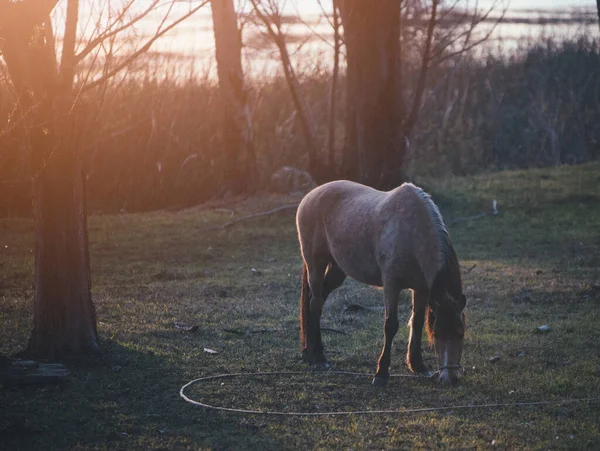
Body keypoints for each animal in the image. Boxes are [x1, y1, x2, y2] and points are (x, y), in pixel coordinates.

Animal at [298, 180, 466, 384]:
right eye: (437, 333)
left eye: (461, 333)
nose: (450, 379)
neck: (411, 231)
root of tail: (310, 196)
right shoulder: (391, 285)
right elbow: (391, 325)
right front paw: (381, 373)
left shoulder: (422, 289)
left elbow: (417, 322)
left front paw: (418, 366)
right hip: (316, 264)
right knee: (315, 305)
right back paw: (319, 357)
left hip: (337, 270)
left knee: (316, 301)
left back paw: (308, 351)